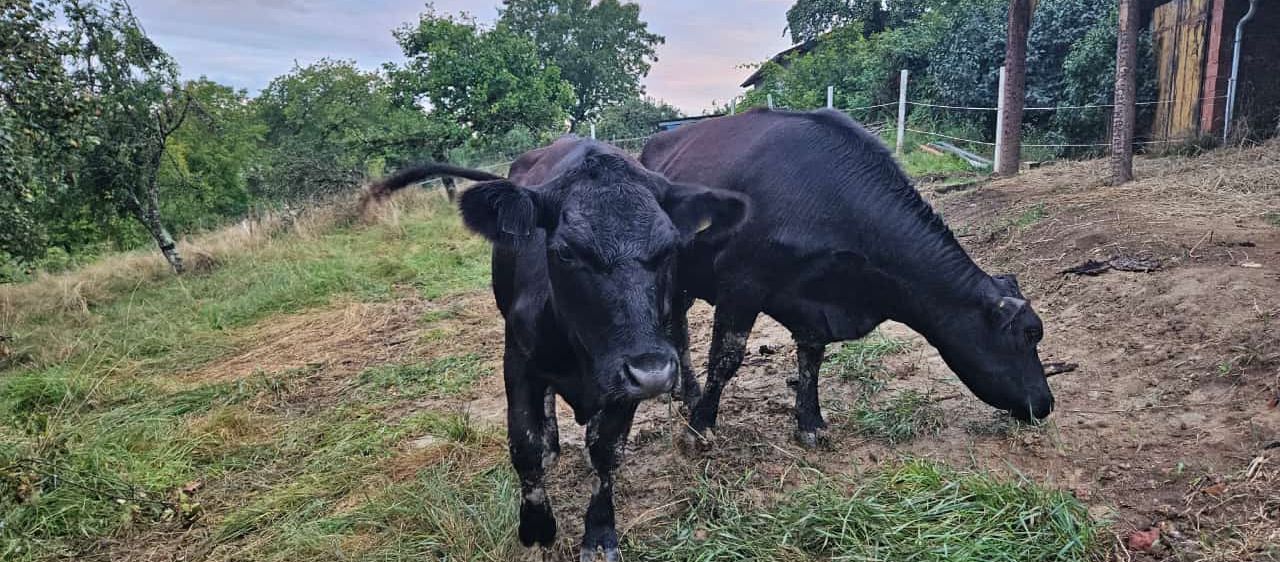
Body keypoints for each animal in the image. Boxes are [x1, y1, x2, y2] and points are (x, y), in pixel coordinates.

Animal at [363, 137, 749, 560]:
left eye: (670, 249)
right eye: (565, 251)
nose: (652, 371)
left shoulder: (627, 379)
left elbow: (606, 450)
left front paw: (600, 532)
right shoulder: (518, 361)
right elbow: (527, 446)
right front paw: (537, 527)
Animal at [639, 108, 1054, 450]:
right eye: (1029, 334)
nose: (1046, 403)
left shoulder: (813, 303)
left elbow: (812, 359)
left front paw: (811, 424)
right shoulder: (742, 284)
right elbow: (726, 358)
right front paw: (700, 428)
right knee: (678, 330)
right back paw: (688, 394)